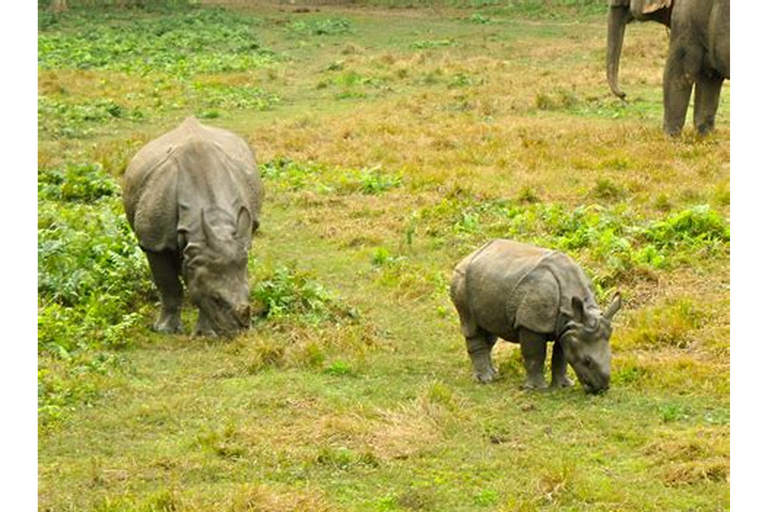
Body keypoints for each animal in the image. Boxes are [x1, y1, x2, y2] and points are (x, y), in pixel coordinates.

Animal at [608, 0, 732, 136]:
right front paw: (706, 136)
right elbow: (709, 79)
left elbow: (677, 76)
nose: (623, 94)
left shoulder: (684, 21)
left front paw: (670, 138)